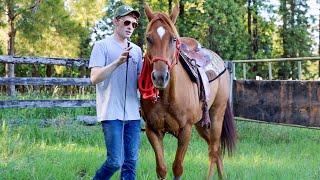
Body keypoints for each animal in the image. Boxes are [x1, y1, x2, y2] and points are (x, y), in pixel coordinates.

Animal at [139, 3, 236, 179]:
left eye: (173, 39)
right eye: (148, 38)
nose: (160, 76)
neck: (167, 97)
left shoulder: (185, 130)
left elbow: (177, 167)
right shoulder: (153, 130)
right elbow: (161, 168)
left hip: (216, 116)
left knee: (213, 151)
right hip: (203, 124)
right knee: (216, 150)